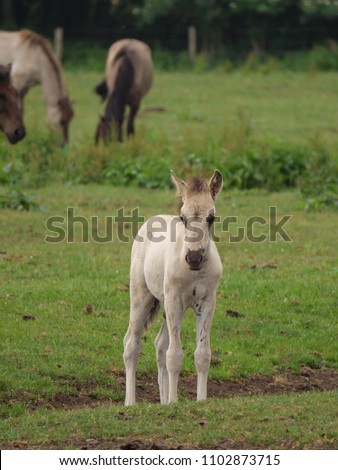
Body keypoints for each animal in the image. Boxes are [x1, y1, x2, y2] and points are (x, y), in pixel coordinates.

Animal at [123, 171, 223, 406]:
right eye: (183, 217)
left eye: (211, 218)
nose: (194, 258)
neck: (194, 272)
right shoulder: (174, 301)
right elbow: (175, 355)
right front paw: (175, 403)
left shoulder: (207, 303)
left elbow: (202, 354)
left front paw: (199, 401)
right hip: (142, 298)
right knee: (131, 344)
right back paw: (130, 403)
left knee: (160, 345)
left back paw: (164, 401)